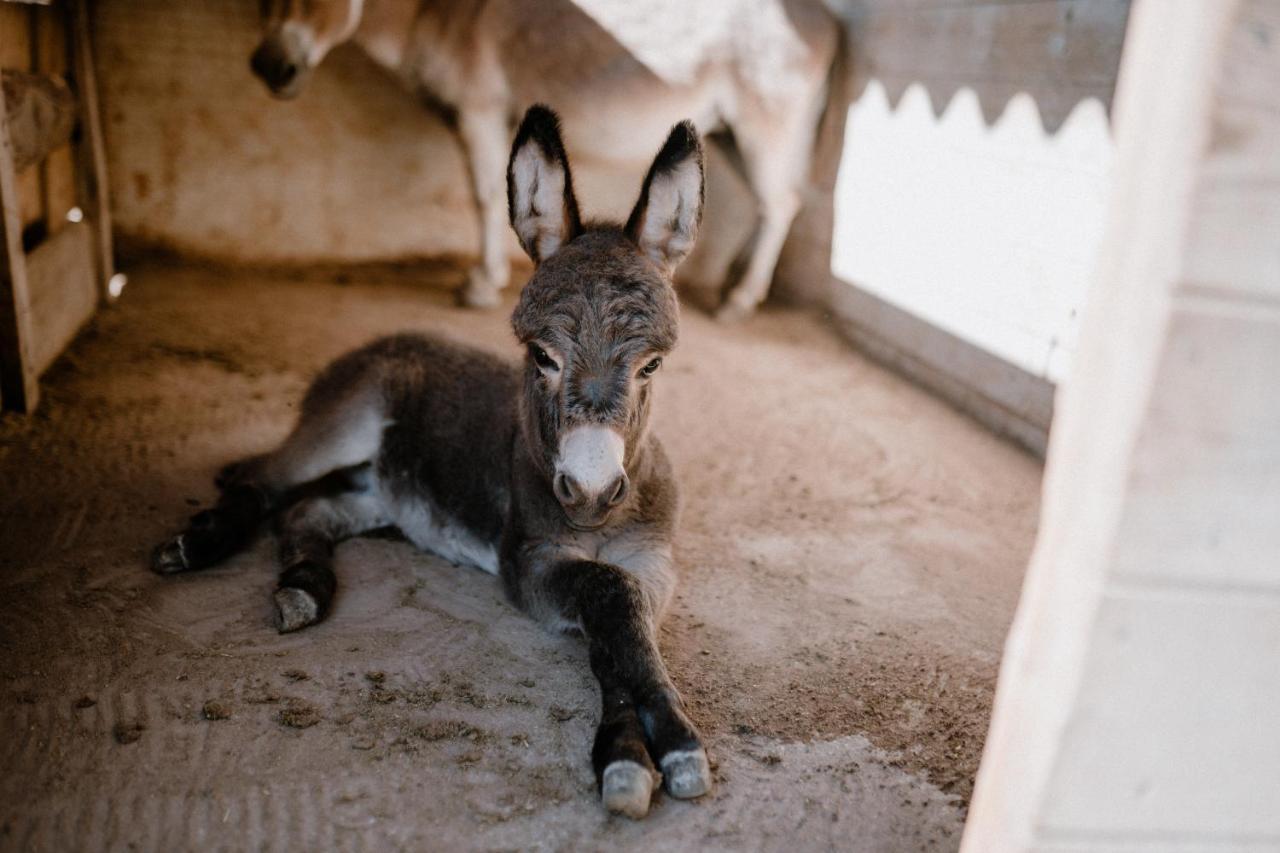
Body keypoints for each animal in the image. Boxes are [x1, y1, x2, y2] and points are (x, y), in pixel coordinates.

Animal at [152, 106, 711, 819]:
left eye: (652, 365)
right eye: (542, 357)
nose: (587, 490)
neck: (599, 524)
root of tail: (391, 337)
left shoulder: (653, 563)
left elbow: (623, 626)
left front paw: (657, 741)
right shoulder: (526, 562)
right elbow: (607, 599)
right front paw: (641, 751)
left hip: (388, 490)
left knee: (312, 511)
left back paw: (305, 586)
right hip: (345, 423)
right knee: (266, 482)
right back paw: (200, 545)